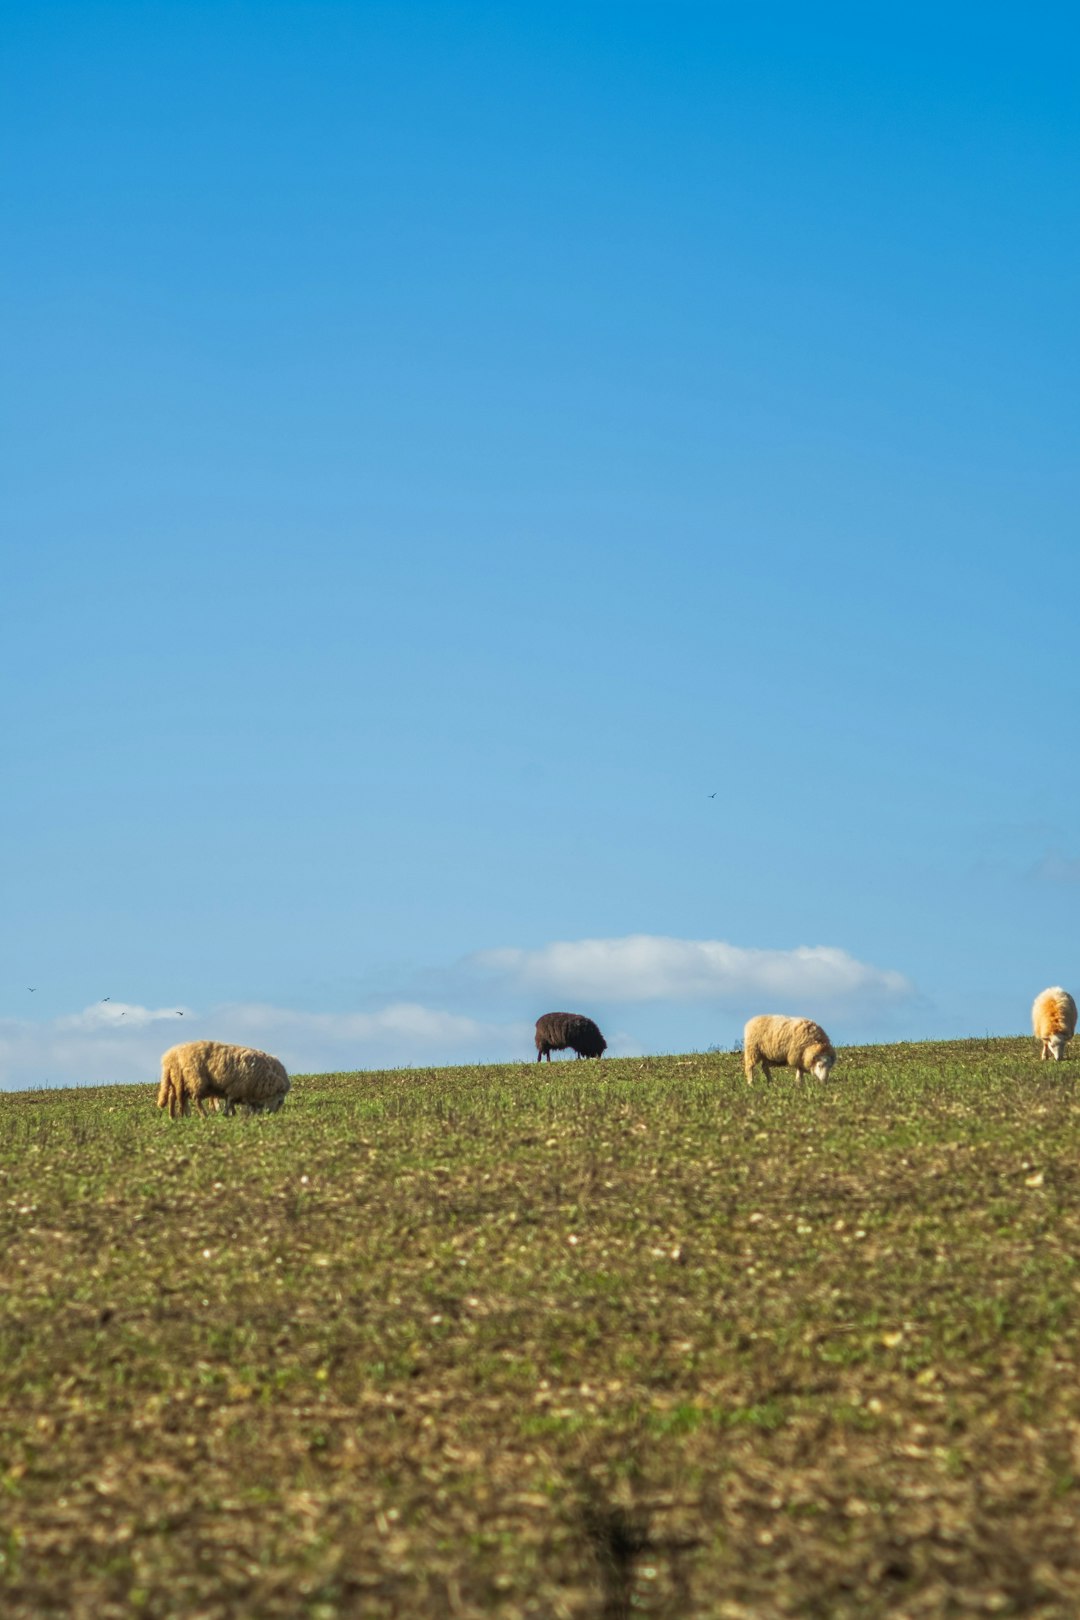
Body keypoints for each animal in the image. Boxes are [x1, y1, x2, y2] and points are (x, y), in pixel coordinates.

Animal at [156, 1043, 291, 1121]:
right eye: (279, 1101)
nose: (270, 1114)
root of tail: (169, 1057)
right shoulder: (237, 1087)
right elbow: (230, 1101)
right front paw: (228, 1113)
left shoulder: (240, 1091)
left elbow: (234, 1102)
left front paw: (237, 1113)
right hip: (194, 1080)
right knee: (195, 1099)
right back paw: (202, 1115)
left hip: (178, 1081)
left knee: (174, 1097)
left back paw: (174, 1116)